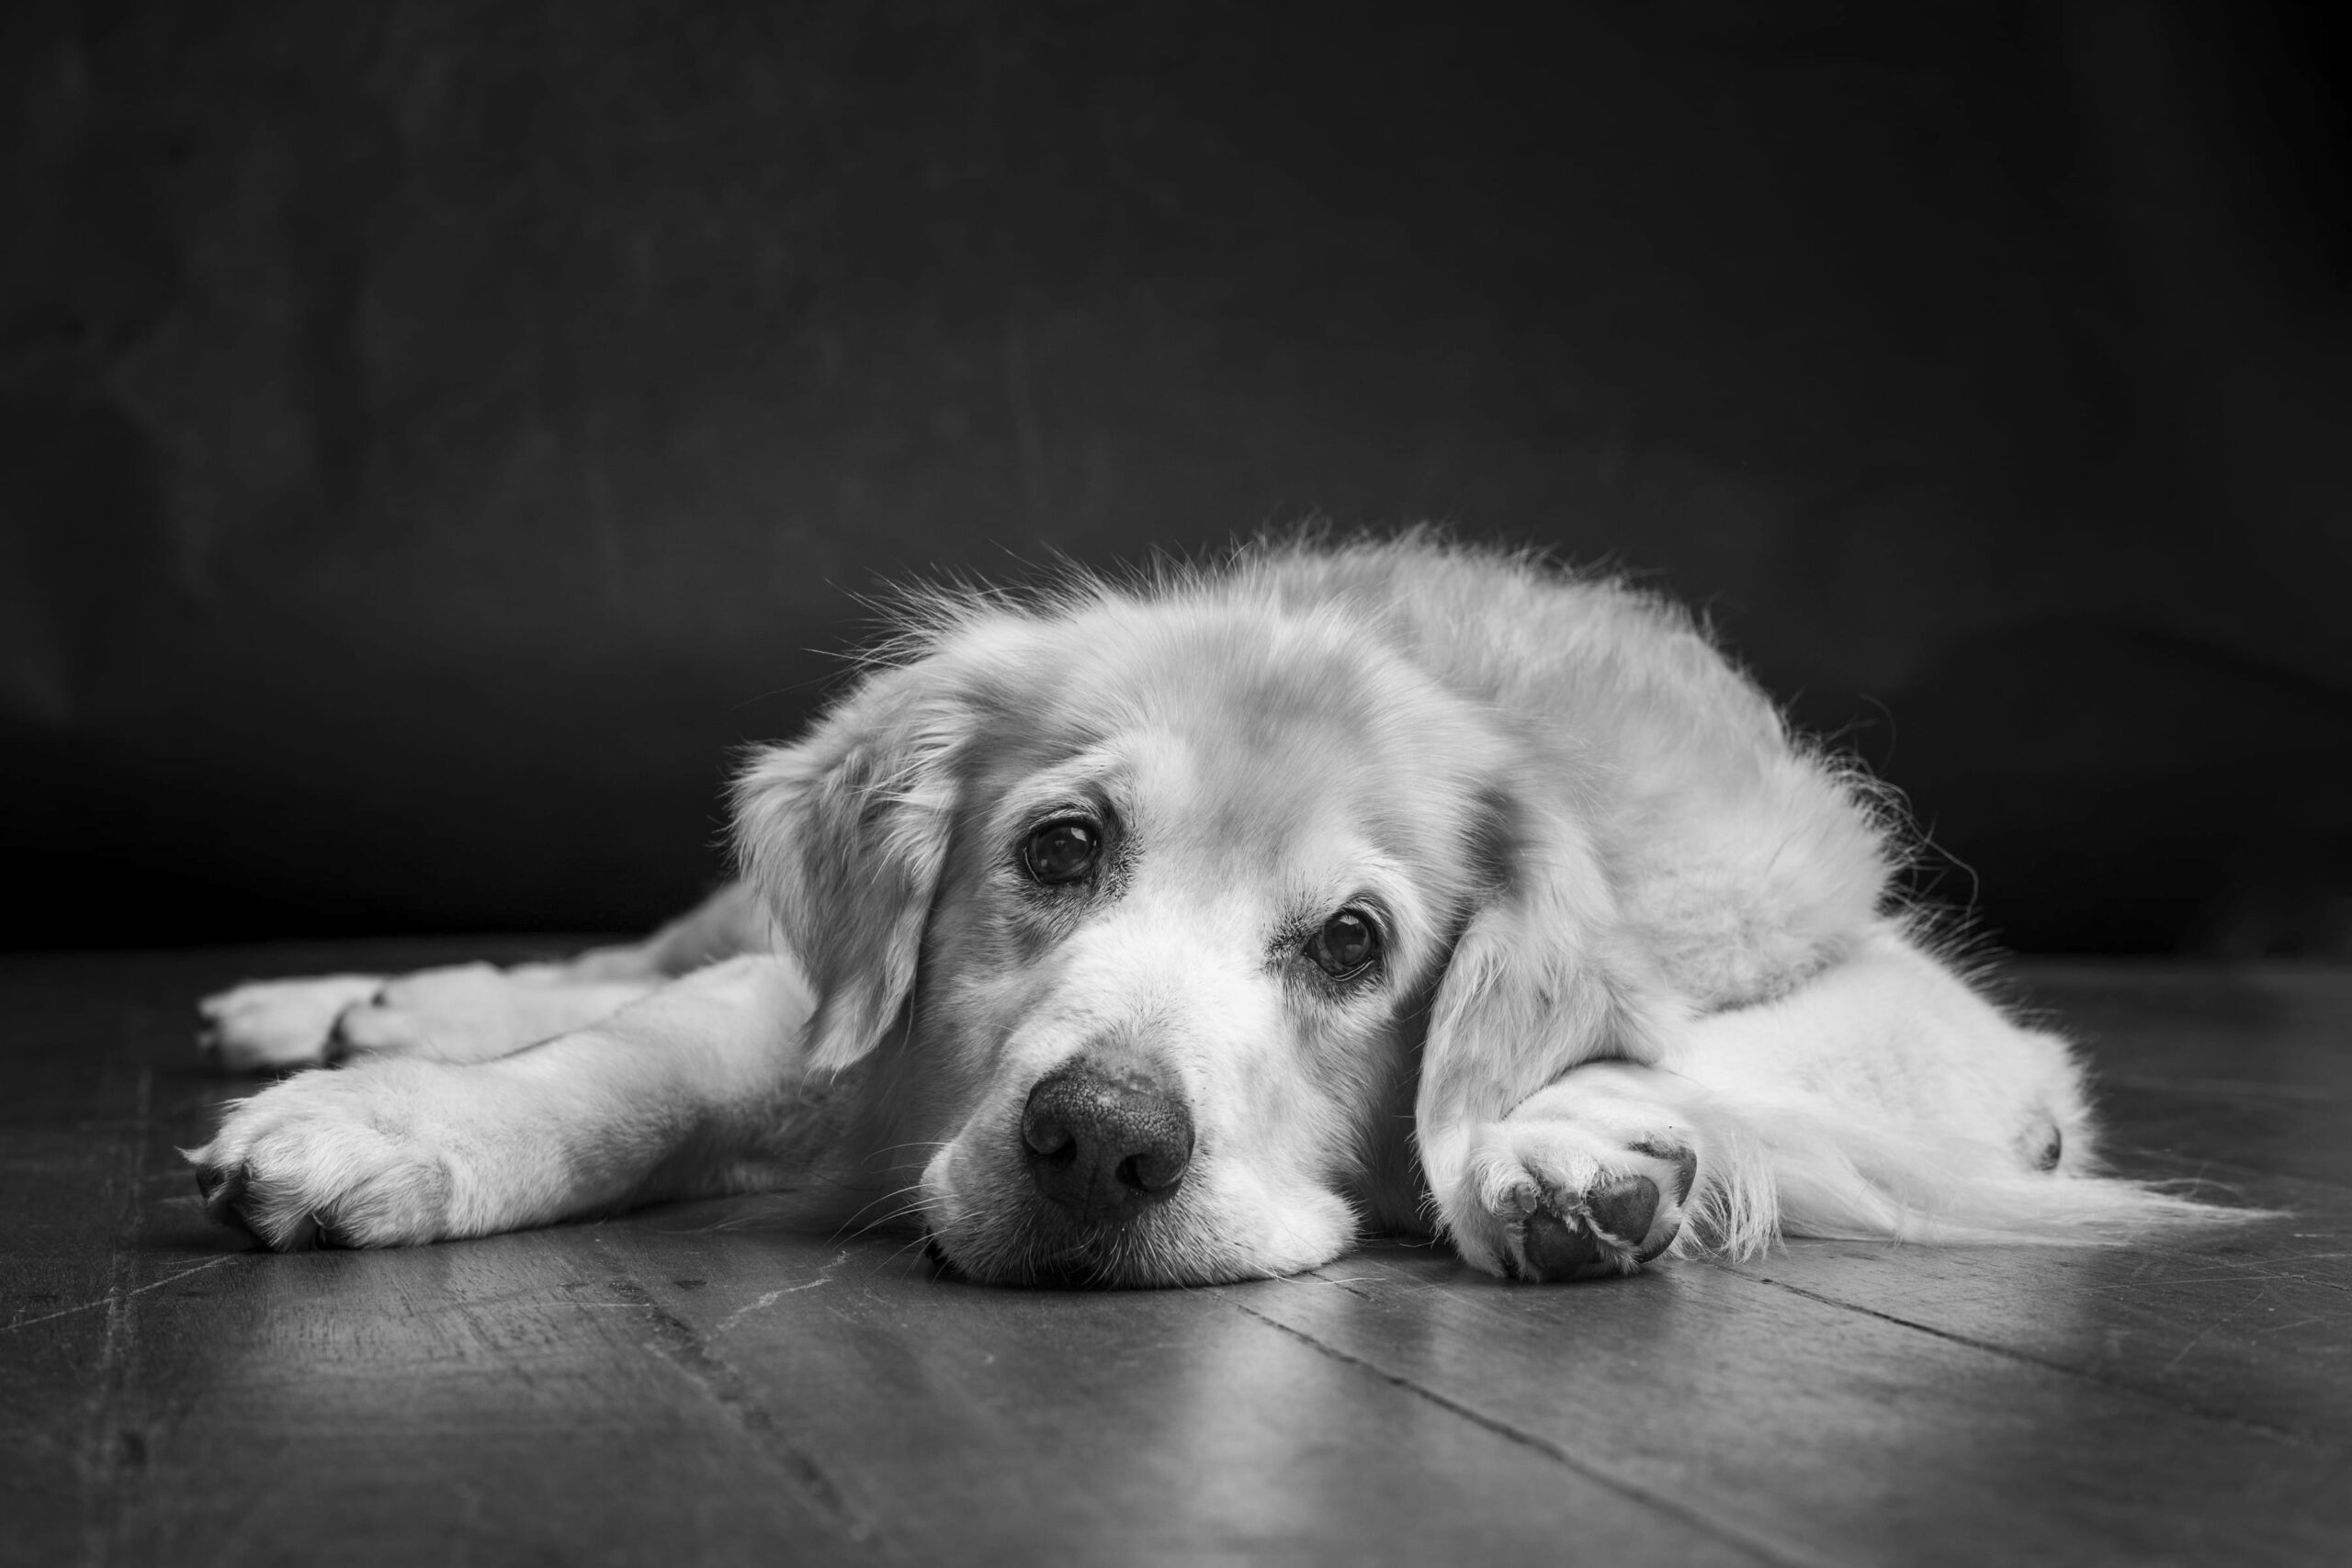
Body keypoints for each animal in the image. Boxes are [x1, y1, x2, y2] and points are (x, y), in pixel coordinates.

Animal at [187, 533, 2220, 1279]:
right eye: (1060, 848)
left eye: (1354, 944)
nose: (1098, 1142)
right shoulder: (837, 1014)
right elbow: (626, 1060)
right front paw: (398, 1124)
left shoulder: (1963, 1038)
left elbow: (1701, 1055)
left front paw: (1564, 1142)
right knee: (629, 955)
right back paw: (351, 1004)